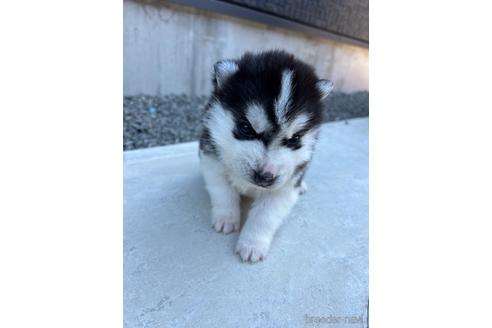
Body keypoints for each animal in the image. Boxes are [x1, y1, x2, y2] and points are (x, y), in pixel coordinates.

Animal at [200, 50, 334, 262]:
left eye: (294, 139)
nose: (265, 177)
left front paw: (252, 244)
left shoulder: (285, 187)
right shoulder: (211, 160)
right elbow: (223, 192)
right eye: (246, 128)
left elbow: (265, 216)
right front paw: (226, 218)